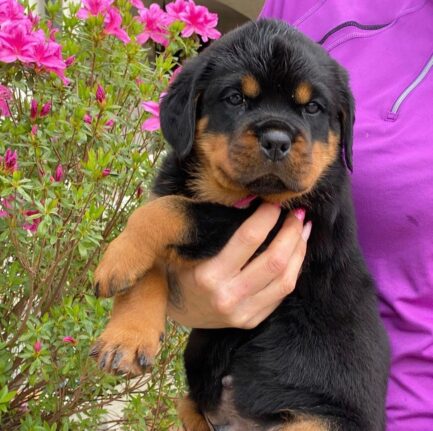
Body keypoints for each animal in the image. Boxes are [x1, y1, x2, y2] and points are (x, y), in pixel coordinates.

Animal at [91, 19, 388, 431]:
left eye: (312, 107)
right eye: (235, 99)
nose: (277, 140)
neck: (225, 190)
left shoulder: (277, 225)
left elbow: (168, 212)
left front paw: (116, 259)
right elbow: (150, 264)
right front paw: (126, 338)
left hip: (317, 423)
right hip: (195, 402)